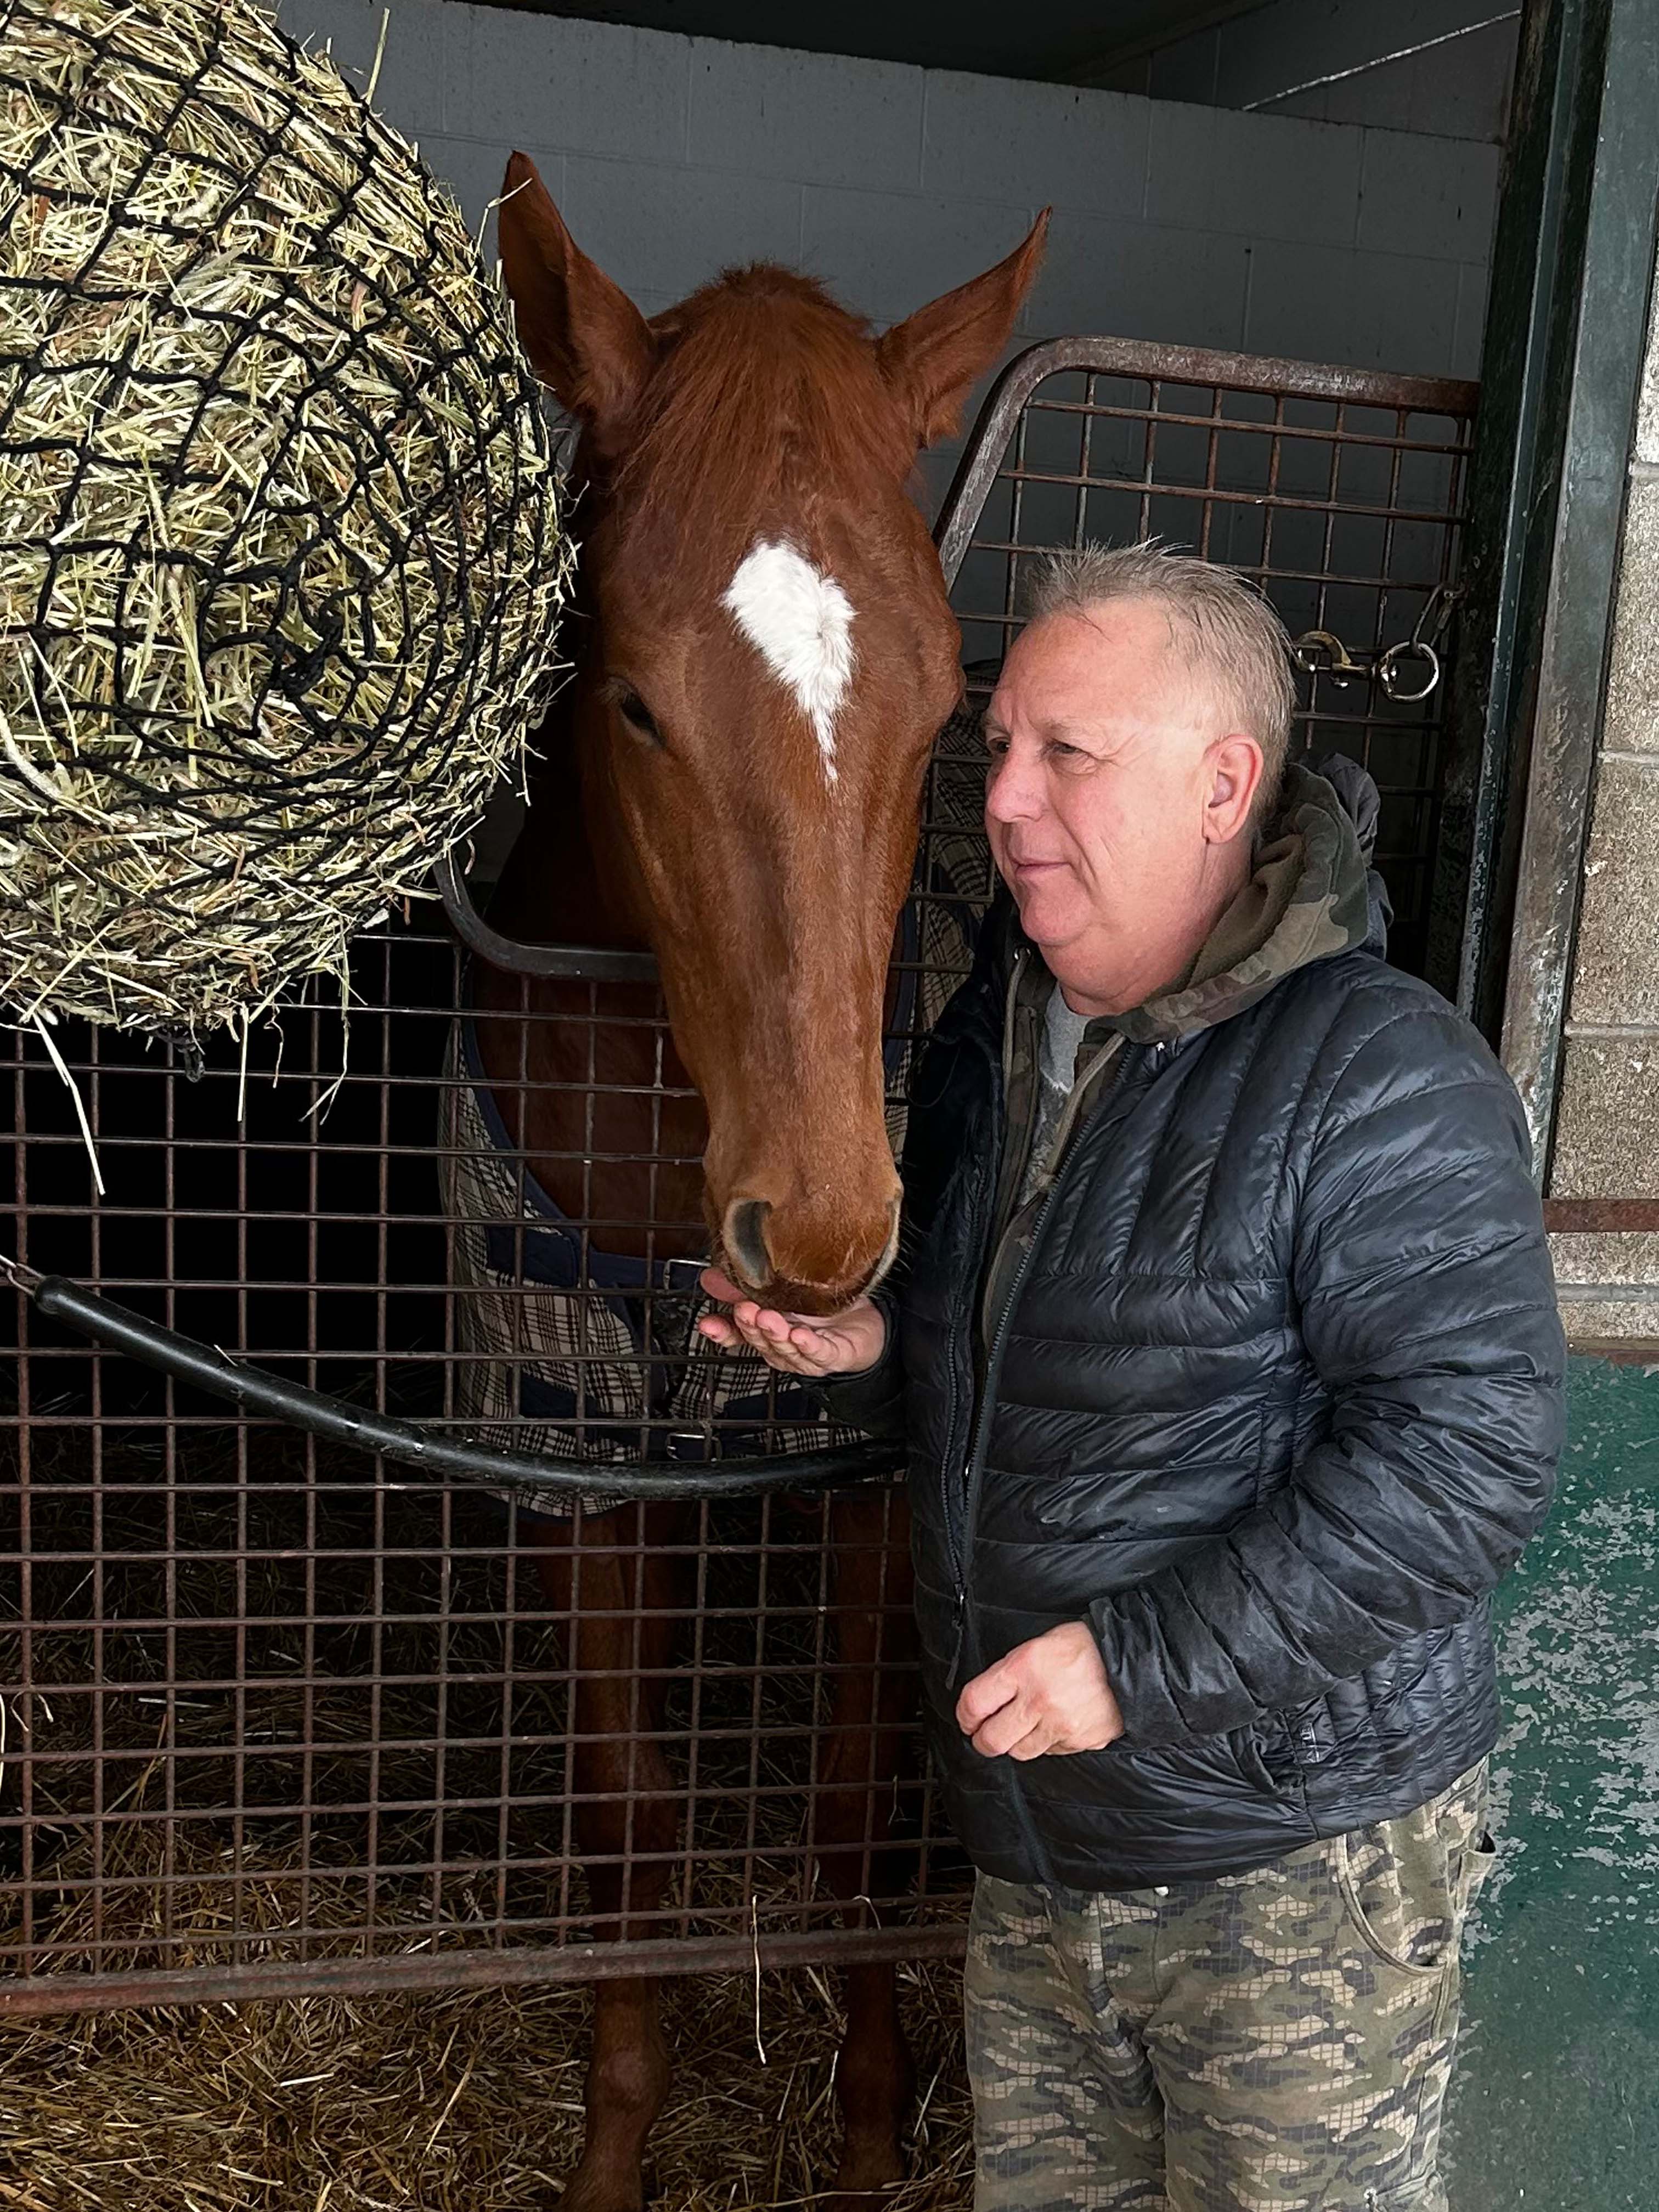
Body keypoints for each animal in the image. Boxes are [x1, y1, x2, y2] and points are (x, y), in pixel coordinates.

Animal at [469, 160, 1044, 2212]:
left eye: (950, 702)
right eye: (635, 702)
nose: (821, 1229)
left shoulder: (859, 1466)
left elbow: (855, 1796)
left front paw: (872, 2119)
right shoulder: (565, 1432)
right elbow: (628, 1817)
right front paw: (617, 2138)